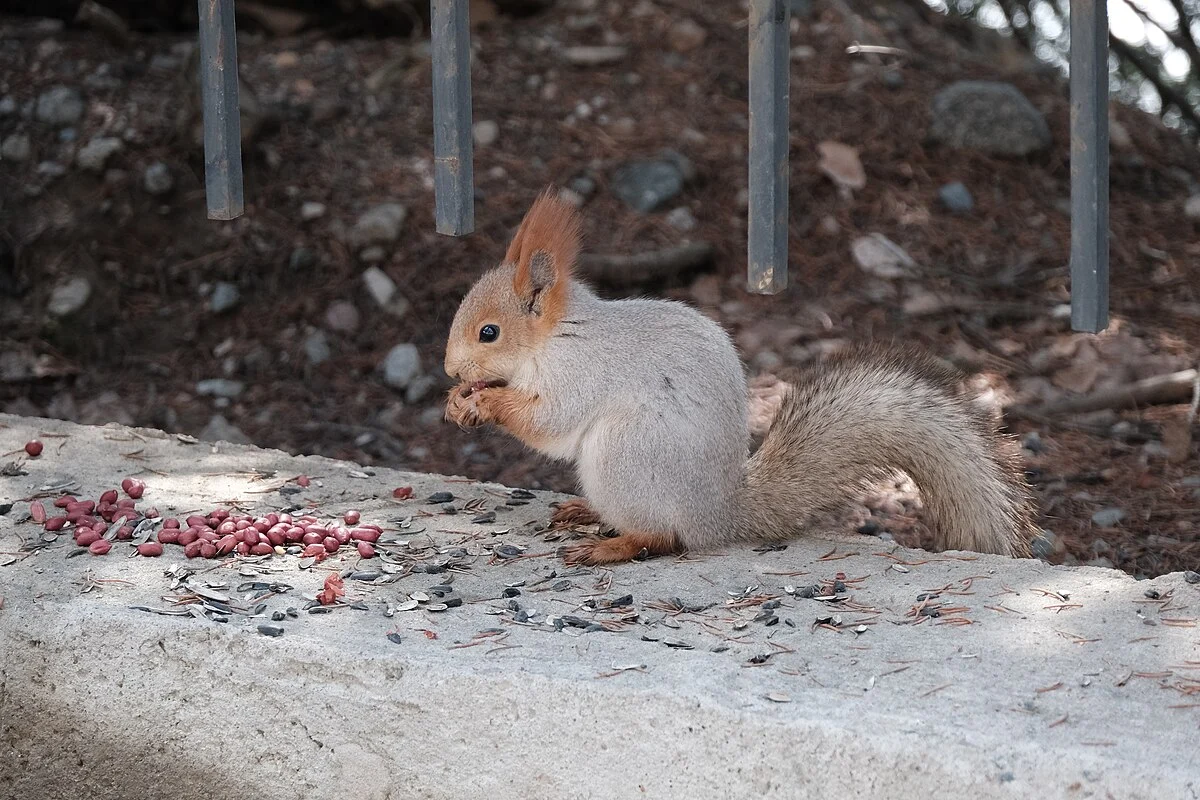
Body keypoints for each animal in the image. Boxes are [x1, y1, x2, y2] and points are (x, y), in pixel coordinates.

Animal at [443, 188, 1037, 565]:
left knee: (662, 536)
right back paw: (583, 510)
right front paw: (457, 397)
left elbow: (548, 423)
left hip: (625, 455)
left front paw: (484, 402)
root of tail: (719, 514)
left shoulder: (582, 374)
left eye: (489, 333)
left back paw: (610, 545)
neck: (556, 337)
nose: (450, 368)